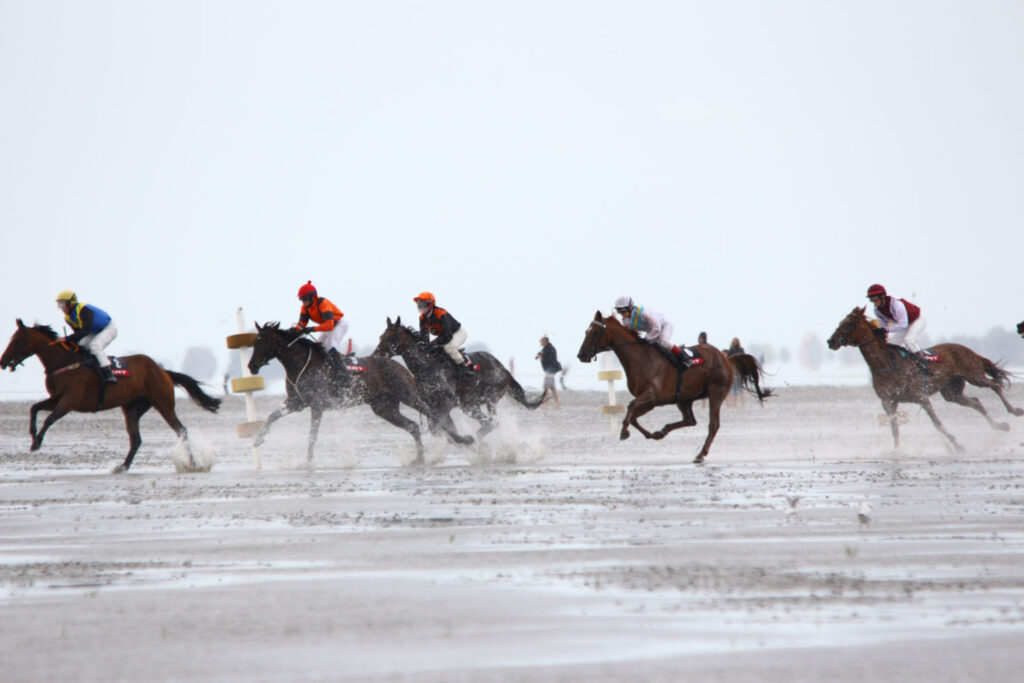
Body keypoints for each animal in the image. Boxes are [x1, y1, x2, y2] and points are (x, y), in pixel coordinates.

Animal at [0, 319, 223, 471]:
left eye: (17, 340)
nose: (3, 362)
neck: (65, 362)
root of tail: (162, 371)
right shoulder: (56, 398)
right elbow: (34, 407)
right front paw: (32, 434)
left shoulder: (70, 400)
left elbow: (50, 418)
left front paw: (37, 442)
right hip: (132, 408)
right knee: (136, 439)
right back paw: (122, 466)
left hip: (163, 403)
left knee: (181, 430)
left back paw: (194, 462)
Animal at [243, 321, 452, 464]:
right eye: (254, 342)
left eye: (263, 342)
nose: (252, 366)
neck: (301, 364)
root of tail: (397, 363)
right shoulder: (297, 402)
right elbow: (273, 415)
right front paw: (258, 439)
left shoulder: (317, 405)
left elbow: (312, 435)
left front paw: (308, 462)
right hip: (384, 407)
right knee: (413, 426)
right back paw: (420, 458)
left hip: (407, 394)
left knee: (432, 414)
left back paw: (456, 441)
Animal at [370, 315, 544, 438]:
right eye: (380, 336)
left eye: (390, 338)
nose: (376, 355)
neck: (428, 366)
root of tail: (503, 369)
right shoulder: (432, 404)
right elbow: (438, 428)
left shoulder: (446, 403)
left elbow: (438, 427)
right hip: (470, 404)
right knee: (488, 423)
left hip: (488, 400)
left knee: (492, 423)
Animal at [577, 311, 770, 464]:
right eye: (586, 331)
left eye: (594, 332)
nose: (581, 355)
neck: (642, 359)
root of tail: (726, 358)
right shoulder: (650, 402)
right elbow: (633, 416)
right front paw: (651, 434)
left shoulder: (652, 396)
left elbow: (630, 408)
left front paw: (624, 432)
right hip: (684, 398)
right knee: (690, 420)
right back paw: (663, 431)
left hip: (716, 392)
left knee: (713, 425)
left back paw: (700, 454)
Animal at [823, 307, 1024, 450]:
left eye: (849, 323)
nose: (830, 341)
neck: (886, 365)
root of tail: (965, 348)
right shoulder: (889, 402)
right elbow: (894, 429)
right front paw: (897, 451)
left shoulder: (921, 397)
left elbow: (937, 424)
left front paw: (957, 445)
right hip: (951, 391)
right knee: (976, 402)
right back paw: (1000, 426)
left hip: (974, 374)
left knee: (994, 385)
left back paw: (1014, 411)